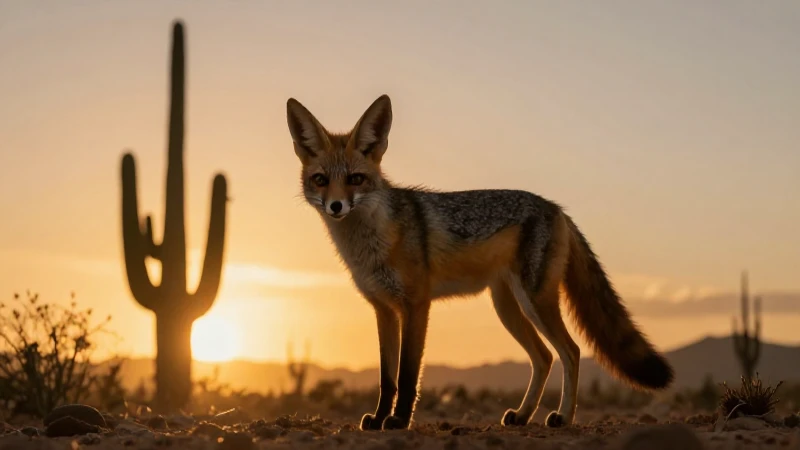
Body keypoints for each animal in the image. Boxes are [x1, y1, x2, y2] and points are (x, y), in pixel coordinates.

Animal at [285, 94, 674, 431]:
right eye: (321, 180)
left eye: (355, 179)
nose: (336, 206)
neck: (371, 244)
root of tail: (556, 207)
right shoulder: (383, 310)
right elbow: (386, 378)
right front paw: (380, 419)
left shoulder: (416, 305)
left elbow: (408, 375)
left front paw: (399, 421)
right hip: (507, 307)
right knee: (544, 357)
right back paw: (522, 415)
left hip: (535, 302)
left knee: (571, 351)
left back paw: (563, 417)